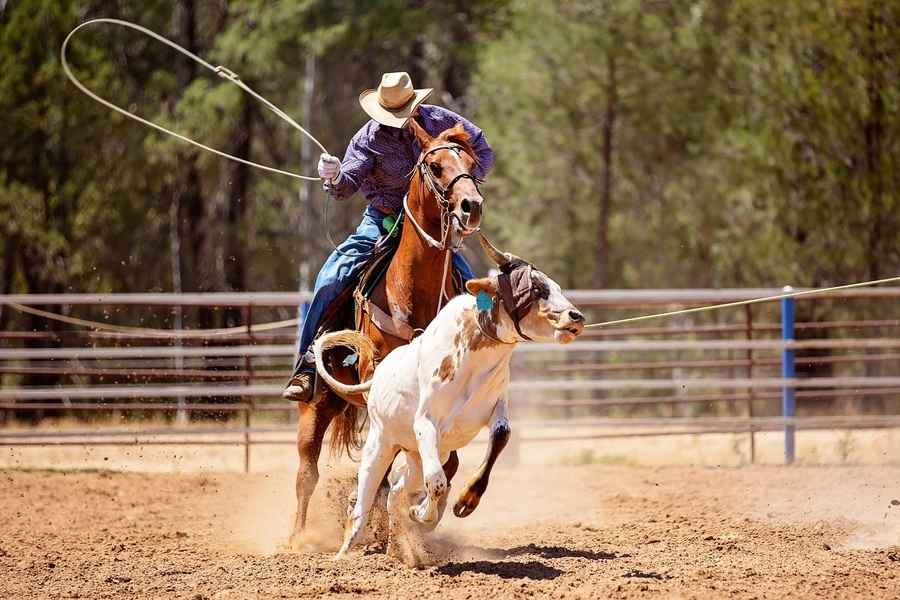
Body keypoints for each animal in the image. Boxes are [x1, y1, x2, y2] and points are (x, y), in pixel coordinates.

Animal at [312, 238, 588, 564]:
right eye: (535, 289)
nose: (576, 317)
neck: (471, 356)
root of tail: (378, 375)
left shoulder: (496, 410)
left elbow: (501, 436)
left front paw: (464, 502)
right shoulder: (426, 425)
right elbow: (437, 482)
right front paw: (423, 513)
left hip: (417, 455)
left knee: (396, 491)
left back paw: (398, 550)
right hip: (380, 446)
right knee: (363, 504)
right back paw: (344, 554)